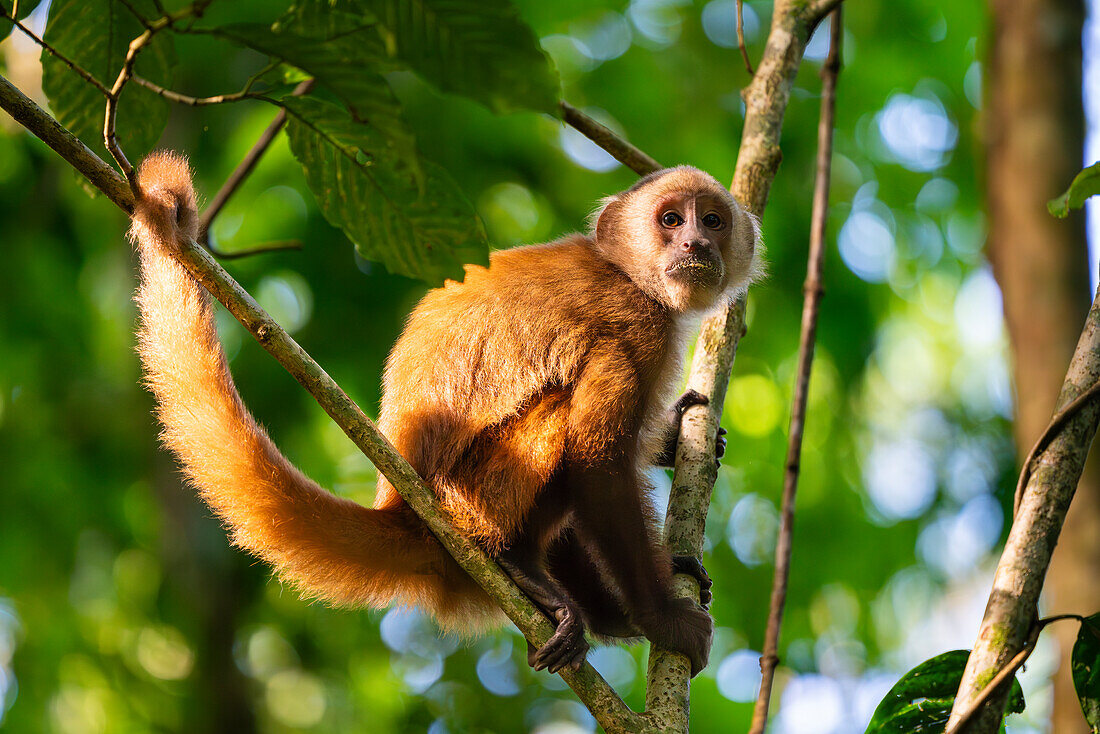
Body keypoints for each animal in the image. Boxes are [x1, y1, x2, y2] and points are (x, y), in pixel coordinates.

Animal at [130, 151, 765, 682]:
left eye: (712, 221)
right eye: (670, 220)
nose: (696, 245)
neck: (627, 273)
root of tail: (403, 508)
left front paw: (677, 440)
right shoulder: (635, 323)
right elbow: (598, 467)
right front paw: (661, 621)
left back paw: (600, 612)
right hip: (473, 496)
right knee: (566, 411)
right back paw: (519, 564)